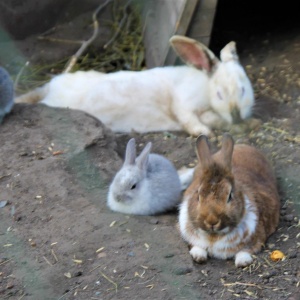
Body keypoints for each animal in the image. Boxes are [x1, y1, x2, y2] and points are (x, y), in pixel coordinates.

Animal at [15, 34, 254, 136]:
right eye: (219, 94)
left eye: (244, 89)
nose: (236, 115)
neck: (205, 87)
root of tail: (50, 87)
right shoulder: (183, 103)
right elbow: (190, 119)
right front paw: (204, 133)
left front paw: (246, 124)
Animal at [177, 134, 280, 268]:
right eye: (198, 195)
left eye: (230, 196)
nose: (212, 221)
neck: (213, 236)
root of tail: (244, 146)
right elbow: (196, 246)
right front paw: (198, 256)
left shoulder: (258, 238)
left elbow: (245, 251)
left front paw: (242, 262)